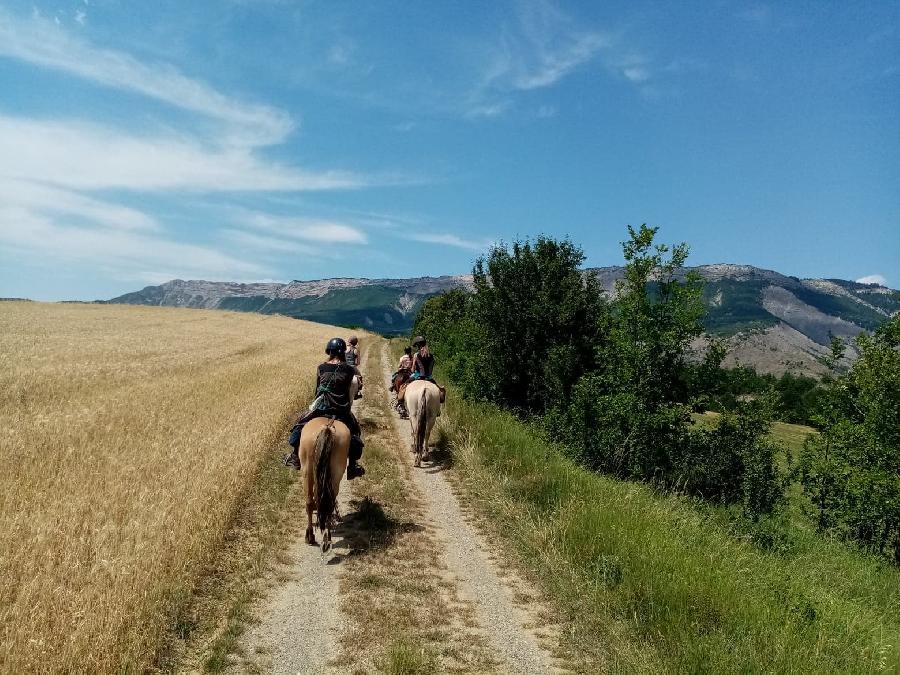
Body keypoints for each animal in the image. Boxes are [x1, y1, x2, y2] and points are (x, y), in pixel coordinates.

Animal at [298, 414, 348, 552]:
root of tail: (328, 428)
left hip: (308, 470)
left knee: (313, 503)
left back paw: (313, 537)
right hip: (331, 473)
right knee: (323, 503)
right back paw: (322, 538)